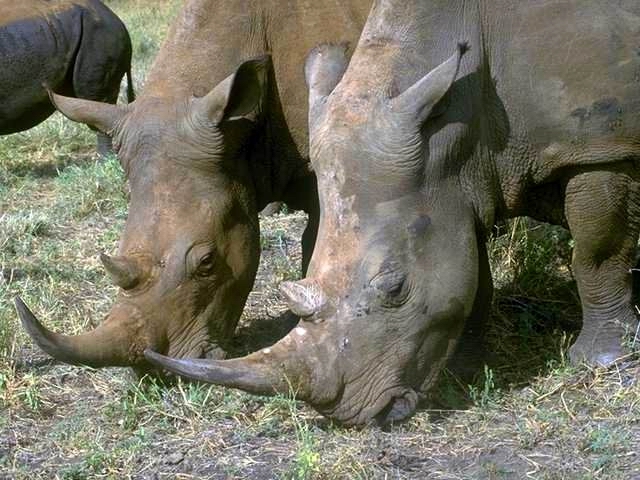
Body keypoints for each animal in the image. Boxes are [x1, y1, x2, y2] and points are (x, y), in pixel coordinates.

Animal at [145, 0, 640, 425]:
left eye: (396, 288)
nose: (350, 415)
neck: (454, 124)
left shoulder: (599, 146)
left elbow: (596, 252)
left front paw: (602, 360)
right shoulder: (455, 179)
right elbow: (472, 271)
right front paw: (465, 369)